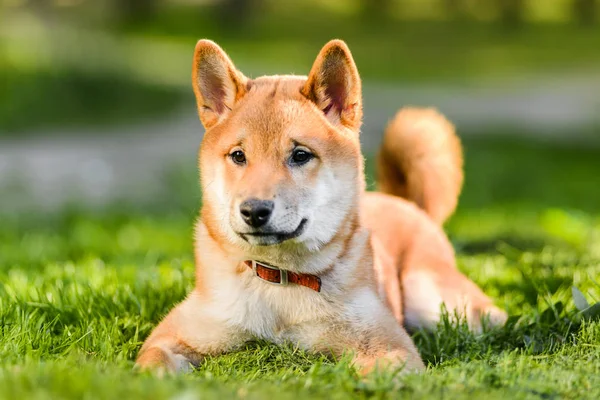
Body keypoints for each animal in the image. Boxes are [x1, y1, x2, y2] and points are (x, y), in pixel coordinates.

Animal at [136, 39, 506, 374]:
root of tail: (405, 203)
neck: (279, 280)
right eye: (238, 155)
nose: (254, 211)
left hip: (429, 296)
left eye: (300, 155)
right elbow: (151, 367)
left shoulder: (388, 344)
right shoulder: (175, 335)